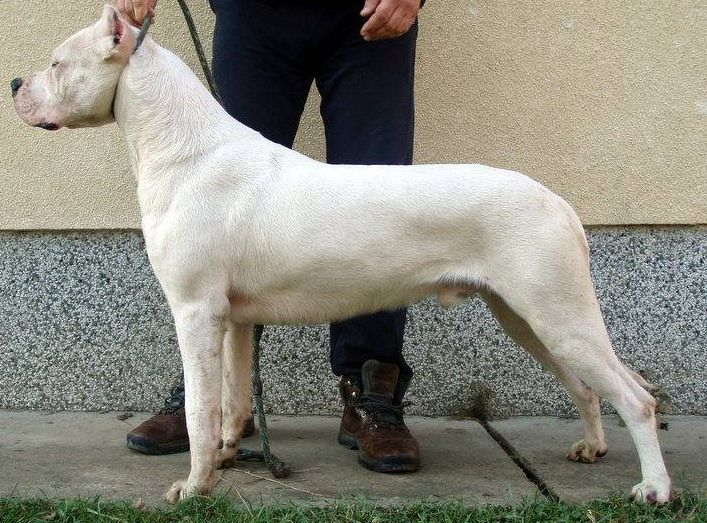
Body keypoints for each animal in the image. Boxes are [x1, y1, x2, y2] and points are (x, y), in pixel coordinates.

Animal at [13, 4, 672, 504]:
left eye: (57, 63)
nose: (17, 84)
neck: (183, 145)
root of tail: (558, 201)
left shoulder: (196, 311)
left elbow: (201, 409)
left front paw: (193, 487)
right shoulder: (233, 320)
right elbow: (231, 397)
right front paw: (226, 454)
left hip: (556, 313)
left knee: (637, 398)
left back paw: (655, 490)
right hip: (528, 316)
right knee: (588, 386)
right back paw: (592, 447)